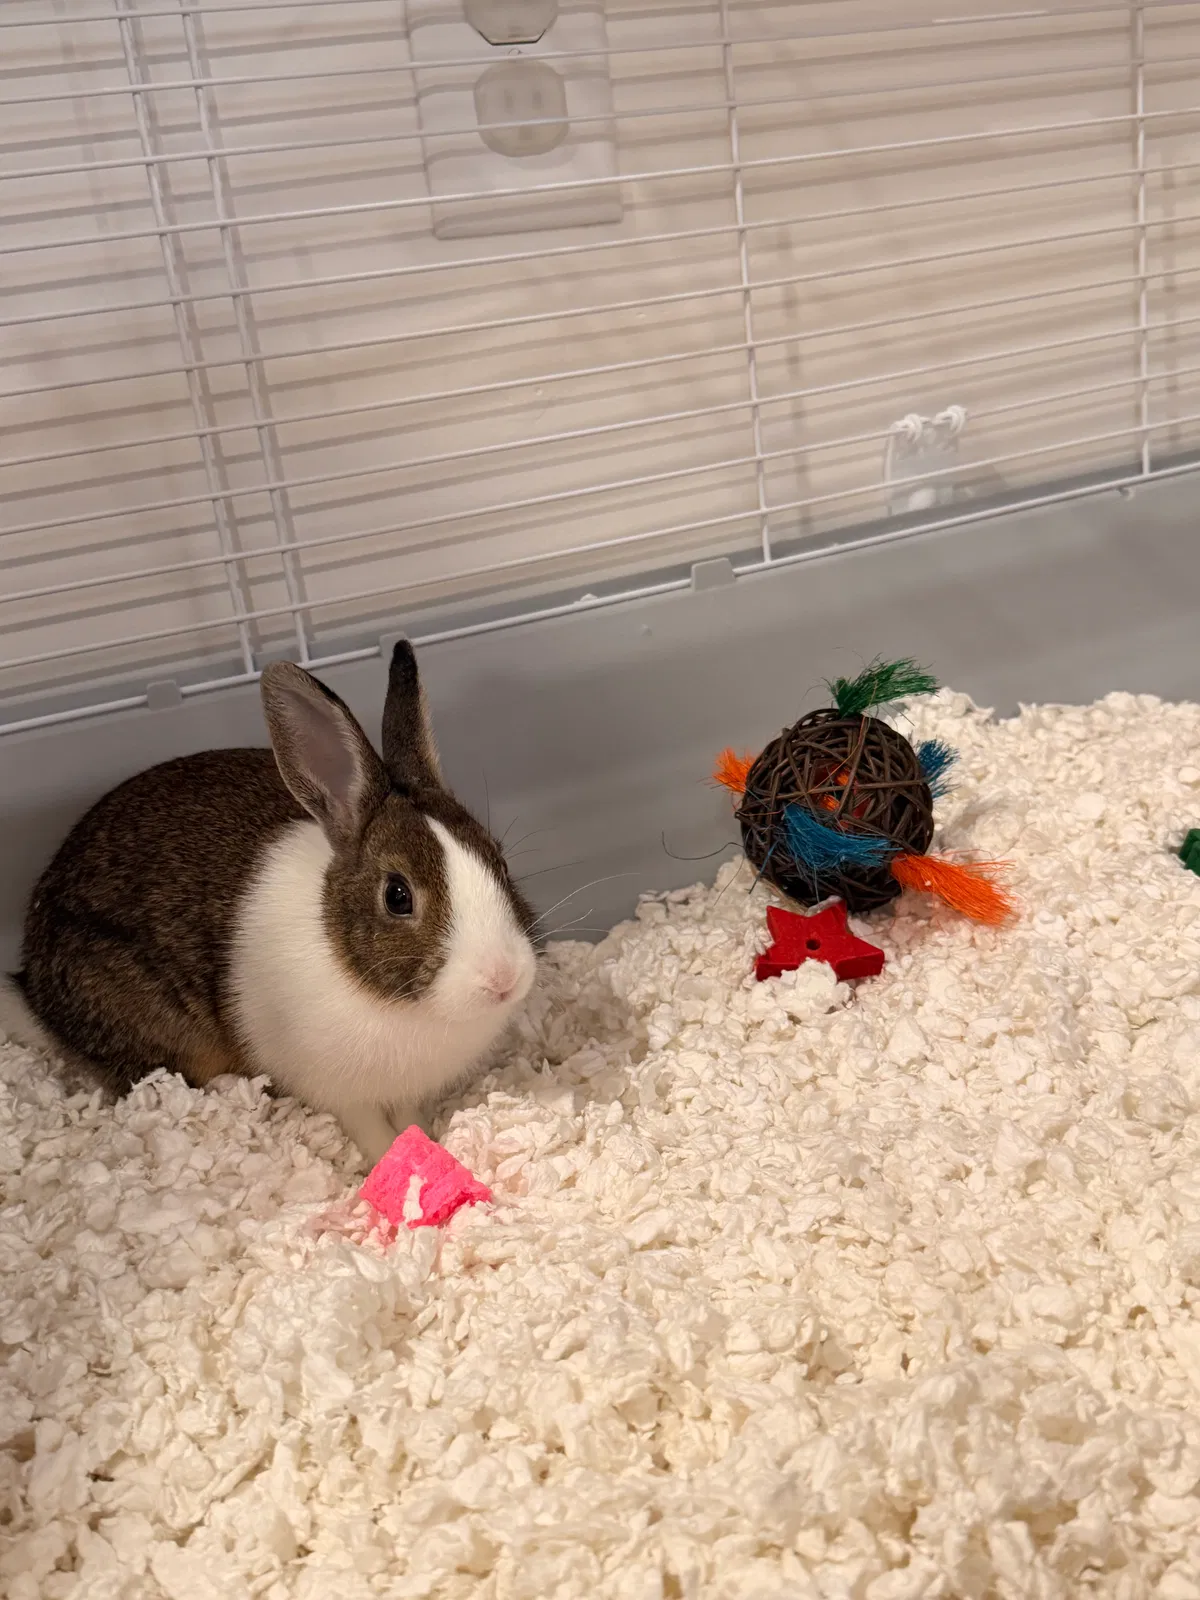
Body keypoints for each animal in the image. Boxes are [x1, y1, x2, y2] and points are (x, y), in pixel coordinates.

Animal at [5, 641, 539, 1167]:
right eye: (397, 896)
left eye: (499, 859)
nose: (503, 978)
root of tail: (33, 994)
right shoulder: (341, 1095)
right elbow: (371, 1133)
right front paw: (388, 1161)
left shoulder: (407, 1091)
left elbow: (408, 1118)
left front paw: (427, 1144)